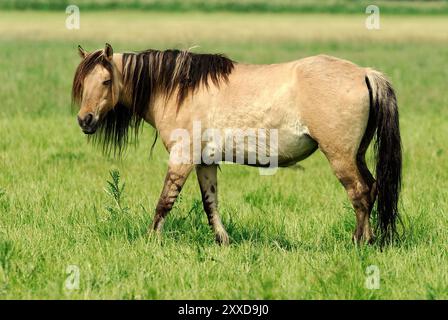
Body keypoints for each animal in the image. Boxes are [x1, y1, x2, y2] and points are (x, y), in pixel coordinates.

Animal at [72, 43, 400, 245]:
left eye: (105, 81)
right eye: (82, 83)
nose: (84, 120)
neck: (177, 88)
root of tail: (364, 73)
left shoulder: (182, 157)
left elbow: (165, 201)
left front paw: (152, 239)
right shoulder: (205, 161)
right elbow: (210, 202)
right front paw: (223, 240)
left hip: (340, 156)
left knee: (359, 193)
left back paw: (358, 242)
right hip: (357, 154)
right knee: (371, 188)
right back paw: (370, 239)